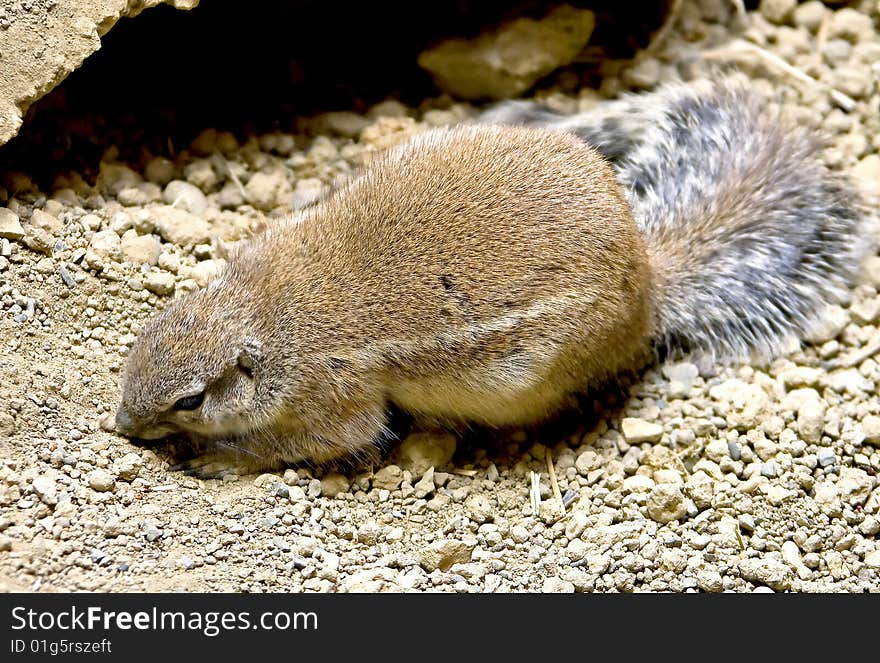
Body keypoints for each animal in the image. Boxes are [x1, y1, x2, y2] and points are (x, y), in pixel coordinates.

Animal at [115, 75, 872, 474]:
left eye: (191, 399)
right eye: (141, 340)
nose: (122, 424)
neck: (267, 309)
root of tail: (650, 273)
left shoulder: (334, 399)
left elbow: (319, 441)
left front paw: (219, 456)